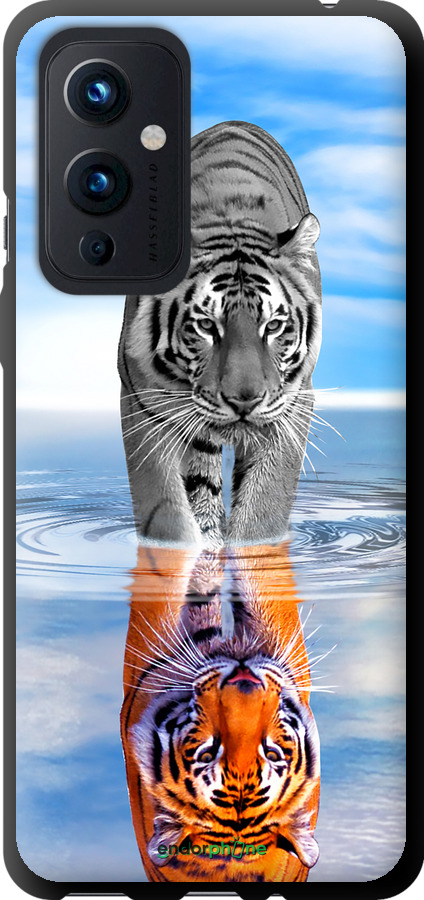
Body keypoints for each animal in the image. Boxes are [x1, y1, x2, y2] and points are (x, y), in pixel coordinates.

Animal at [118, 121, 322, 548]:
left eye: (273, 326)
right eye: (207, 325)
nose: (245, 401)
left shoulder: (293, 404)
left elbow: (263, 508)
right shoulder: (142, 402)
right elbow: (166, 510)